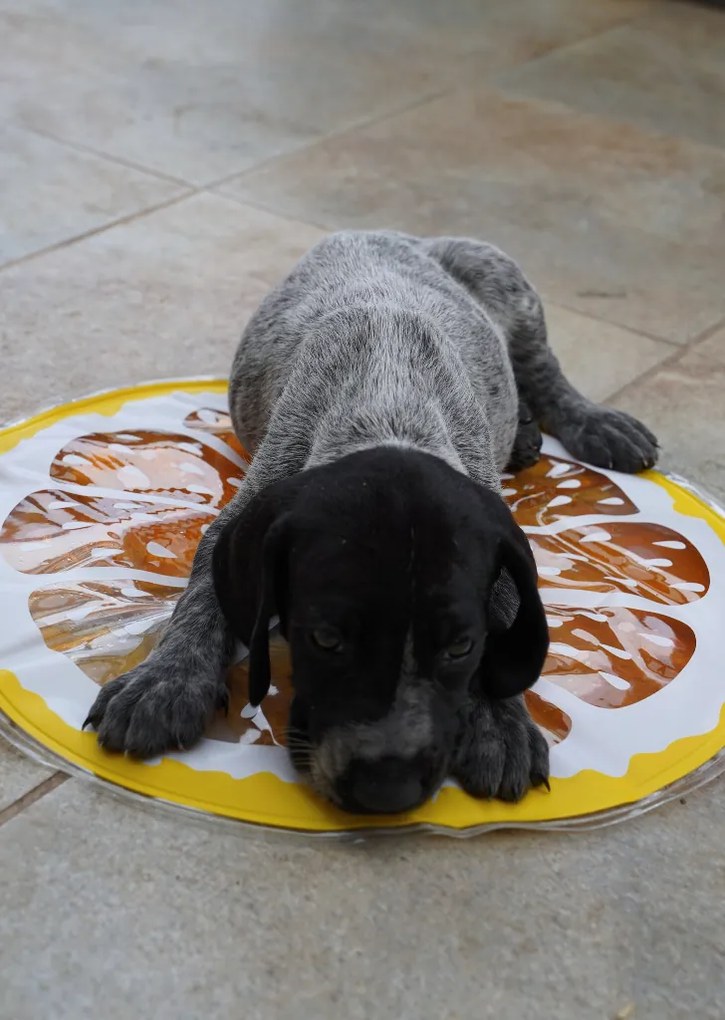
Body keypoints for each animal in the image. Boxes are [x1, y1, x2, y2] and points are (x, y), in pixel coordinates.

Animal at [85, 231, 656, 811]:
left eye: (459, 647)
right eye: (325, 640)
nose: (387, 789)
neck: (388, 410)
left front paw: (498, 720)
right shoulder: (248, 511)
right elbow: (203, 597)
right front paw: (165, 680)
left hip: (507, 285)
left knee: (544, 372)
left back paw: (592, 423)